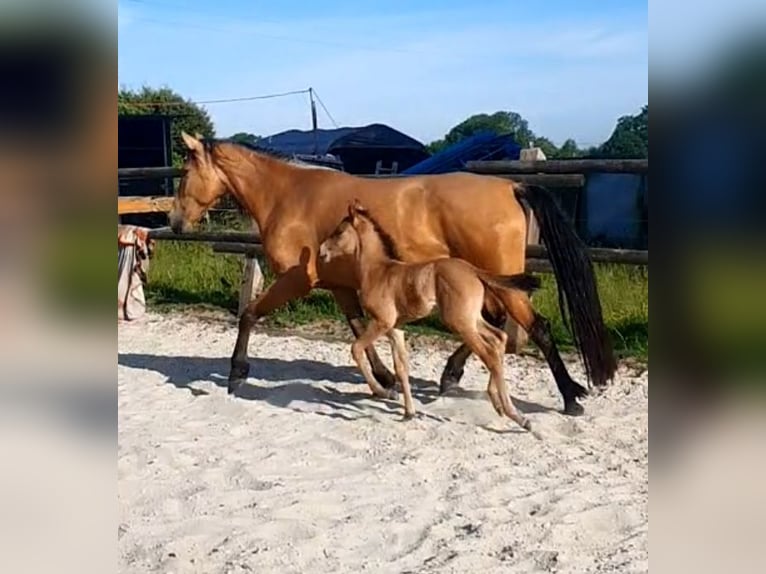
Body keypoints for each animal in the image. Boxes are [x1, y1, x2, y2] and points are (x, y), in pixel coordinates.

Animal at [319, 199, 557, 430]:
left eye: (339, 231)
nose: (322, 251)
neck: (378, 271)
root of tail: (474, 271)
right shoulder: (395, 329)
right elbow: (401, 367)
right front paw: (409, 413)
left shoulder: (381, 322)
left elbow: (356, 348)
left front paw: (384, 392)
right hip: (472, 319)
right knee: (499, 339)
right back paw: (497, 403)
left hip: (460, 322)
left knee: (489, 355)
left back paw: (517, 416)